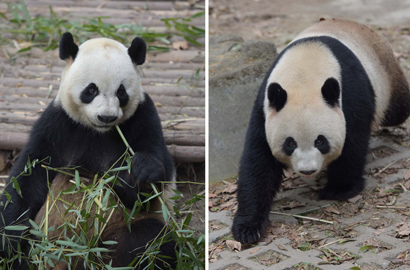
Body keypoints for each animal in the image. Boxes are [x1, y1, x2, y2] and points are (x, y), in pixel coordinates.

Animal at [0, 32, 176, 268]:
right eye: (91, 90)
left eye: (121, 92)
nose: (106, 117)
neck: (97, 132)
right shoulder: (56, 125)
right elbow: (27, 181)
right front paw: (9, 241)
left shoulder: (143, 118)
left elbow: (144, 194)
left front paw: (141, 170)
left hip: (117, 234)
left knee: (149, 241)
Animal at [232, 17, 410, 244]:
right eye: (290, 143)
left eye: (320, 141)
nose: (308, 170)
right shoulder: (265, 106)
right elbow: (258, 161)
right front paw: (248, 228)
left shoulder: (350, 96)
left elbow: (352, 144)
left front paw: (339, 189)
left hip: (385, 77)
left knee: (398, 109)